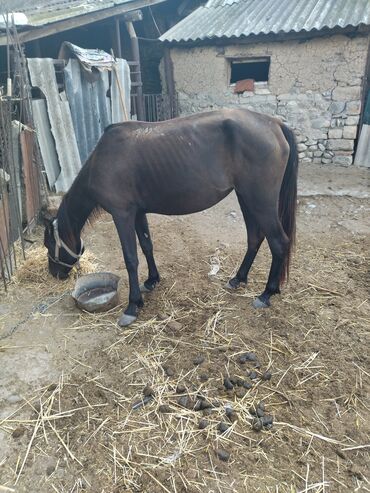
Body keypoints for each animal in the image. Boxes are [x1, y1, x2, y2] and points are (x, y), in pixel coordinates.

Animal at [43, 106, 298, 326]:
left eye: (48, 244)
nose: (54, 274)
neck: (103, 160)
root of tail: (274, 124)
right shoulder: (138, 212)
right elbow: (146, 246)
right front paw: (151, 281)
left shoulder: (122, 214)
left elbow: (131, 258)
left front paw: (133, 306)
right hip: (246, 198)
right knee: (255, 237)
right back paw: (238, 279)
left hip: (260, 201)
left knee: (278, 242)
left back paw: (266, 294)